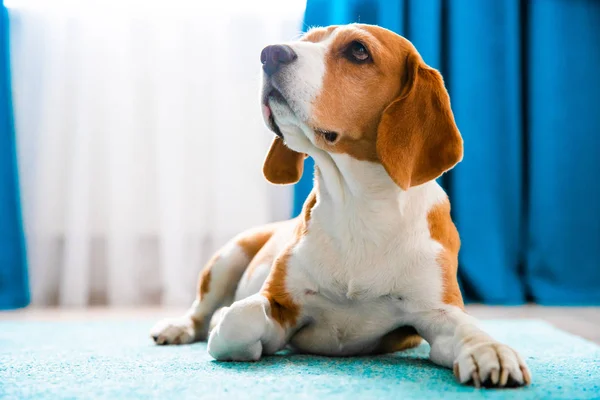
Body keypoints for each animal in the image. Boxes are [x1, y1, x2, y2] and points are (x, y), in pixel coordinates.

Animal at [152, 22, 532, 388]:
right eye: (306, 40)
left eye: (358, 51)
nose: (269, 53)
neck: (359, 207)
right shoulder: (280, 301)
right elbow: (238, 318)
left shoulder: (437, 312)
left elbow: (469, 328)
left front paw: (490, 350)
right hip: (227, 258)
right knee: (201, 312)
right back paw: (178, 328)